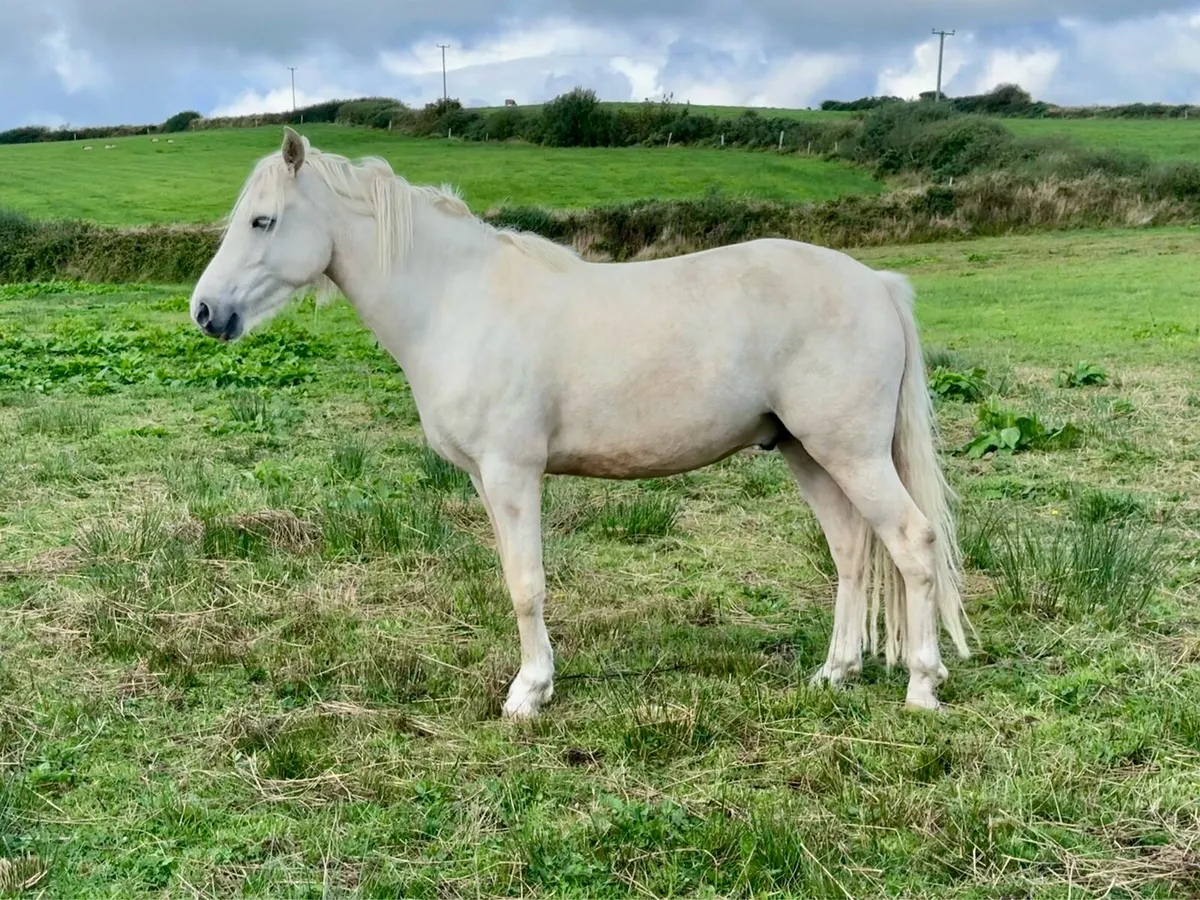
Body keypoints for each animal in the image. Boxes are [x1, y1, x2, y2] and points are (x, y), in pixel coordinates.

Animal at [188, 126, 972, 718]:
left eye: (263, 220)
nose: (205, 311)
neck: (454, 301)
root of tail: (876, 283)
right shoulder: (486, 479)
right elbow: (515, 576)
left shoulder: (512, 473)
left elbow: (526, 583)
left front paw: (528, 693)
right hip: (808, 452)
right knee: (851, 550)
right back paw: (836, 672)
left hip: (852, 454)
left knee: (911, 543)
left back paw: (921, 685)